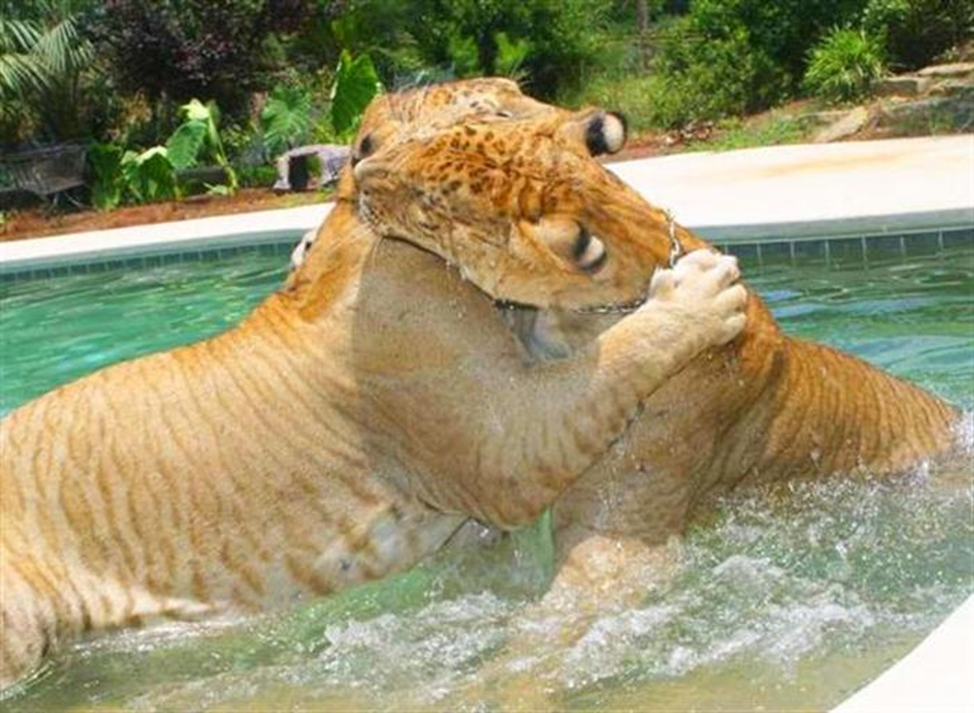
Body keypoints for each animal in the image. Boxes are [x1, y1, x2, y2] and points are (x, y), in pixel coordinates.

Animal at [0, 83, 748, 688]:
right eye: (494, 106)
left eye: (514, 95)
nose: (600, 122)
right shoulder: (502, 442)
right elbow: (620, 353)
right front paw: (704, 292)